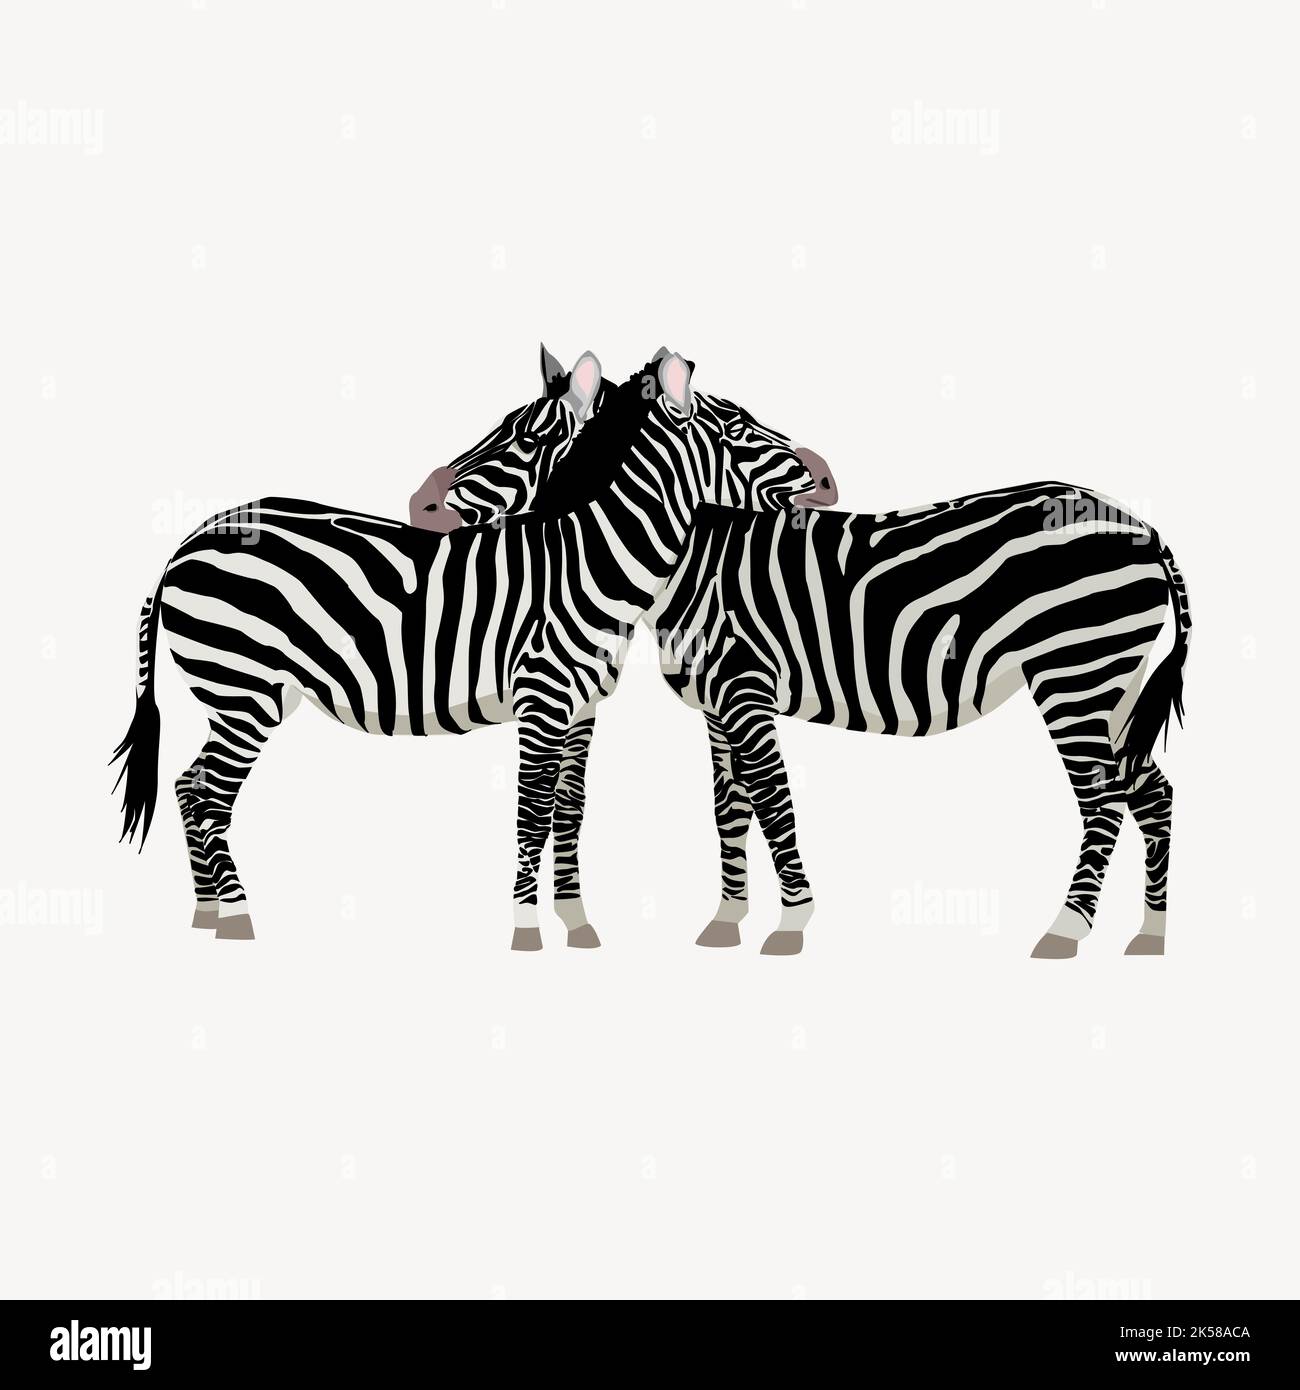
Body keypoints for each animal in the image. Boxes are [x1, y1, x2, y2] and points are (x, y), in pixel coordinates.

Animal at [110, 351, 822, 946]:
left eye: (525, 439)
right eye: (739, 429)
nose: (825, 475)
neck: (587, 559)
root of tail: (187, 543)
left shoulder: (582, 709)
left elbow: (570, 809)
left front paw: (576, 922)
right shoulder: (542, 700)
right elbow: (532, 810)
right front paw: (526, 931)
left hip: (244, 696)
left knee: (186, 785)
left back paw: (206, 913)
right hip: (242, 689)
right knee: (208, 796)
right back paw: (237, 918)